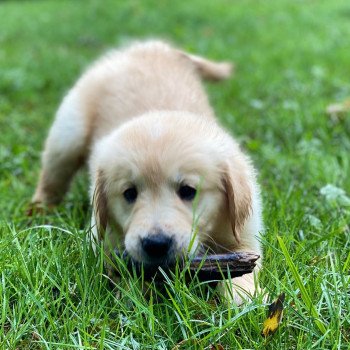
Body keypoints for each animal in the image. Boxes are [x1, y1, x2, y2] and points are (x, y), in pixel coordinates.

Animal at [32, 40, 262, 304]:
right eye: (129, 193)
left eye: (188, 191)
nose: (156, 244)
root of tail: (151, 46)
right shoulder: (104, 237)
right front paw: (135, 296)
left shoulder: (246, 233)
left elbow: (245, 272)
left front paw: (246, 300)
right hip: (68, 134)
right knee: (52, 177)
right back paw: (39, 210)